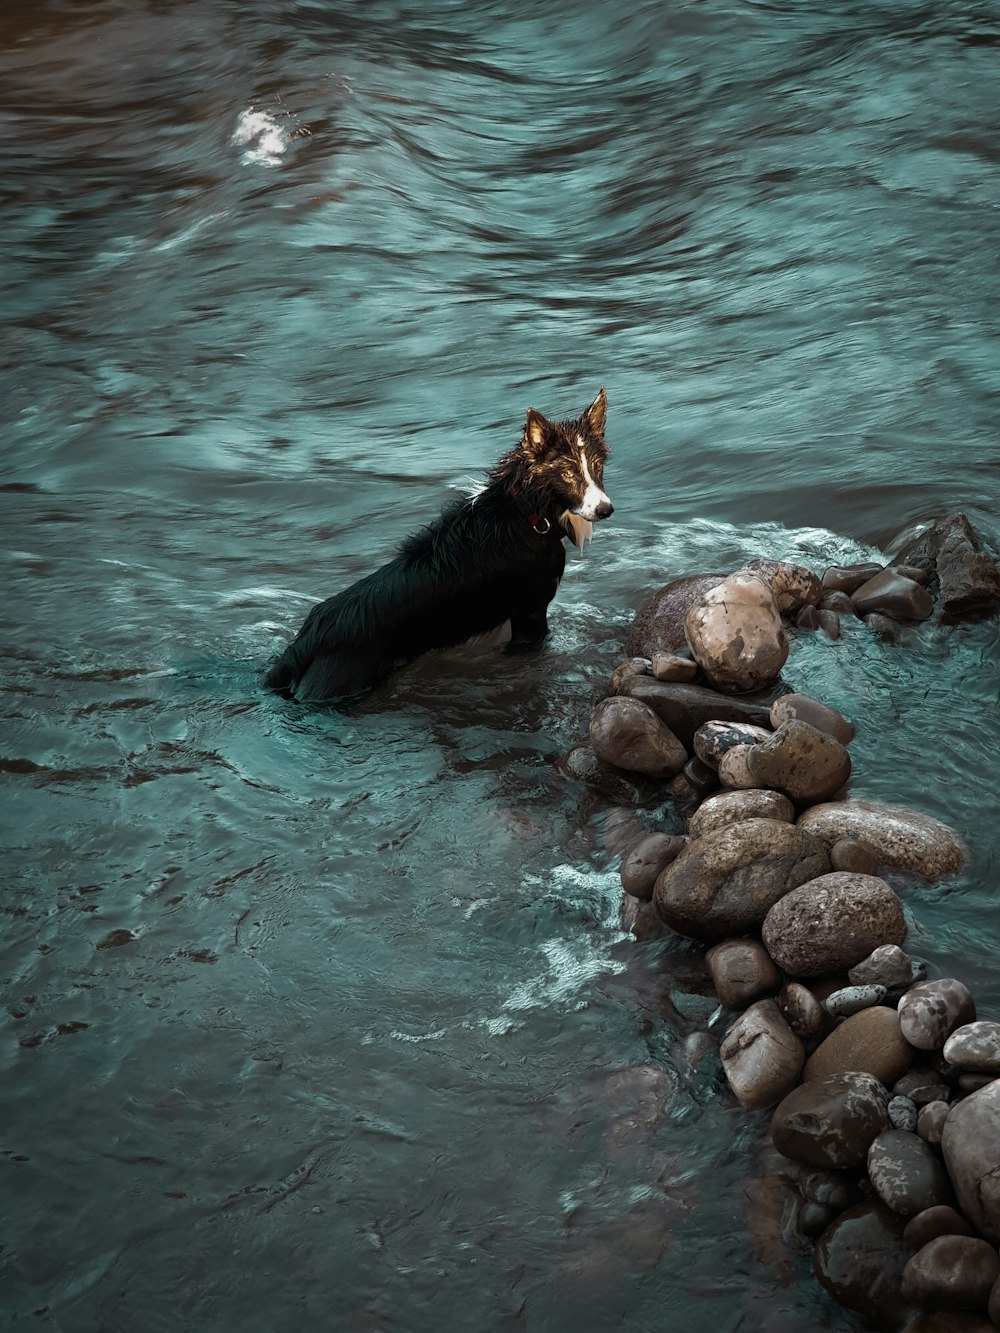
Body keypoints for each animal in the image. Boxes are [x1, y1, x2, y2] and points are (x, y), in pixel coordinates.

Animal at [262, 389, 616, 709]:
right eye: (567, 472)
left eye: (597, 466)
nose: (605, 509)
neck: (526, 513)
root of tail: (304, 641)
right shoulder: (530, 614)